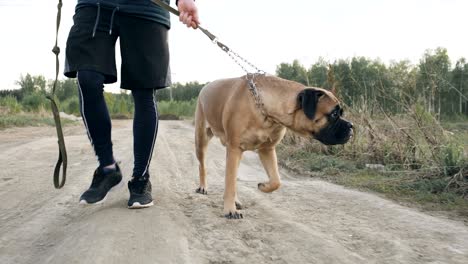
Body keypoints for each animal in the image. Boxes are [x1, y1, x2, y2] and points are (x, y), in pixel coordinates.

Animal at [193, 74, 352, 219]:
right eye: (334, 114)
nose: (351, 126)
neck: (267, 111)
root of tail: (206, 86)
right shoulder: (234, 148)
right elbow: (230, 182)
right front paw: (230, 210)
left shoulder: (267, 149)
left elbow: (276, 181)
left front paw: (263, 186)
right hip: (201, 139)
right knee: (203, 166)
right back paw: (204, 187)